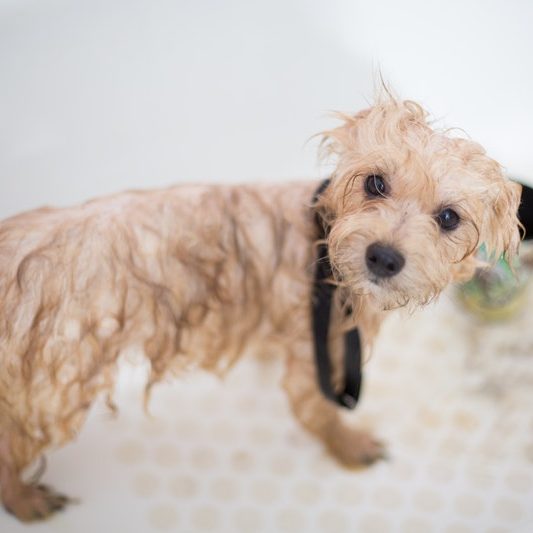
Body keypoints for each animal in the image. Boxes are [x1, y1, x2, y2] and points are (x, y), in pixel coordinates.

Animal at [0, 96, 516, 520]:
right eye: (375, 183)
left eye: (448, 217)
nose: (383, 256)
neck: (323, 243)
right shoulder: (318, 350)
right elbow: (319, 413)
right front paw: (350, 445)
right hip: (52, 387)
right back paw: (24, 500)